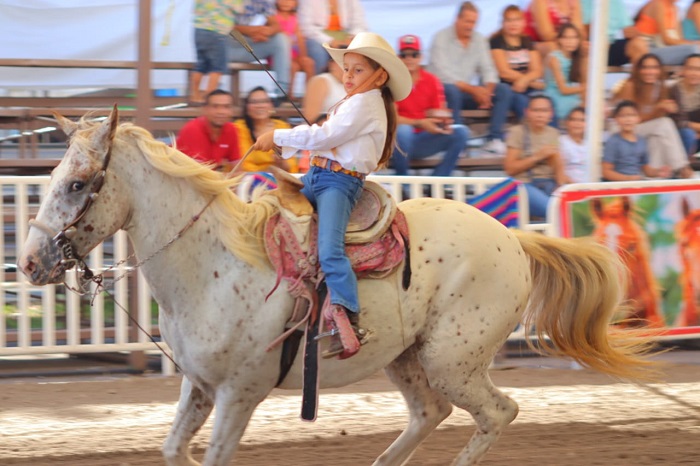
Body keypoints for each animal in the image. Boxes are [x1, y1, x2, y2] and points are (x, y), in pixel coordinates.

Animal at [19, 107, 656, 464]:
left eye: (78, 183)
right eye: (54, 175)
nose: (27, 262)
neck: (211, 267)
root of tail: (515, 240)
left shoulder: (239, 393)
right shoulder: (197, 385)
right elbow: (174, 450)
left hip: (455, 360)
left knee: (497, 414)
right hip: (408, 357)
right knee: (429, 412)